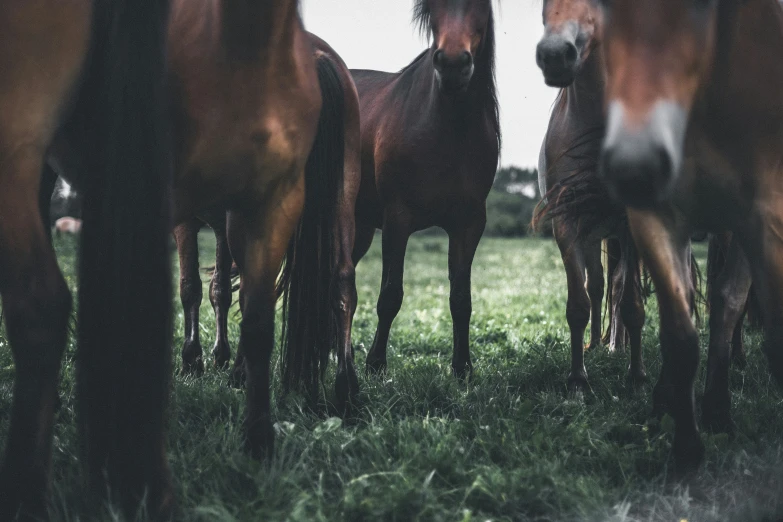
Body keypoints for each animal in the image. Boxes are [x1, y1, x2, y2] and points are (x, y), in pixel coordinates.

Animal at [350, 0, 500, 378]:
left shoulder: (468, 224)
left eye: (480, 5)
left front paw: (462, 368)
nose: (452, 64)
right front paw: (376, 364)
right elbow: (390, 295)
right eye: (433, 7)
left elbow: (461, 299)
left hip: (357, 229)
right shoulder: (397, 220)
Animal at [532, 0, 648, 392]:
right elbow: (579, 304)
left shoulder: (631, 224)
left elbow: (631, 304)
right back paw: (598, 344)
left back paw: (618, 347)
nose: (555, 55)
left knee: (618, 287)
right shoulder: (568, 224)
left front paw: (636, 377)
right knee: (597, 286)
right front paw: (578, 380)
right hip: (592, 235)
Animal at [596, 0, 780, 472]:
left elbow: (731, 302)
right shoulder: (653, 219)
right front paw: (686, 449)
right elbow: (678, 331)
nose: (636, 165)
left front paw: (717, 412)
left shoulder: (757, 218)